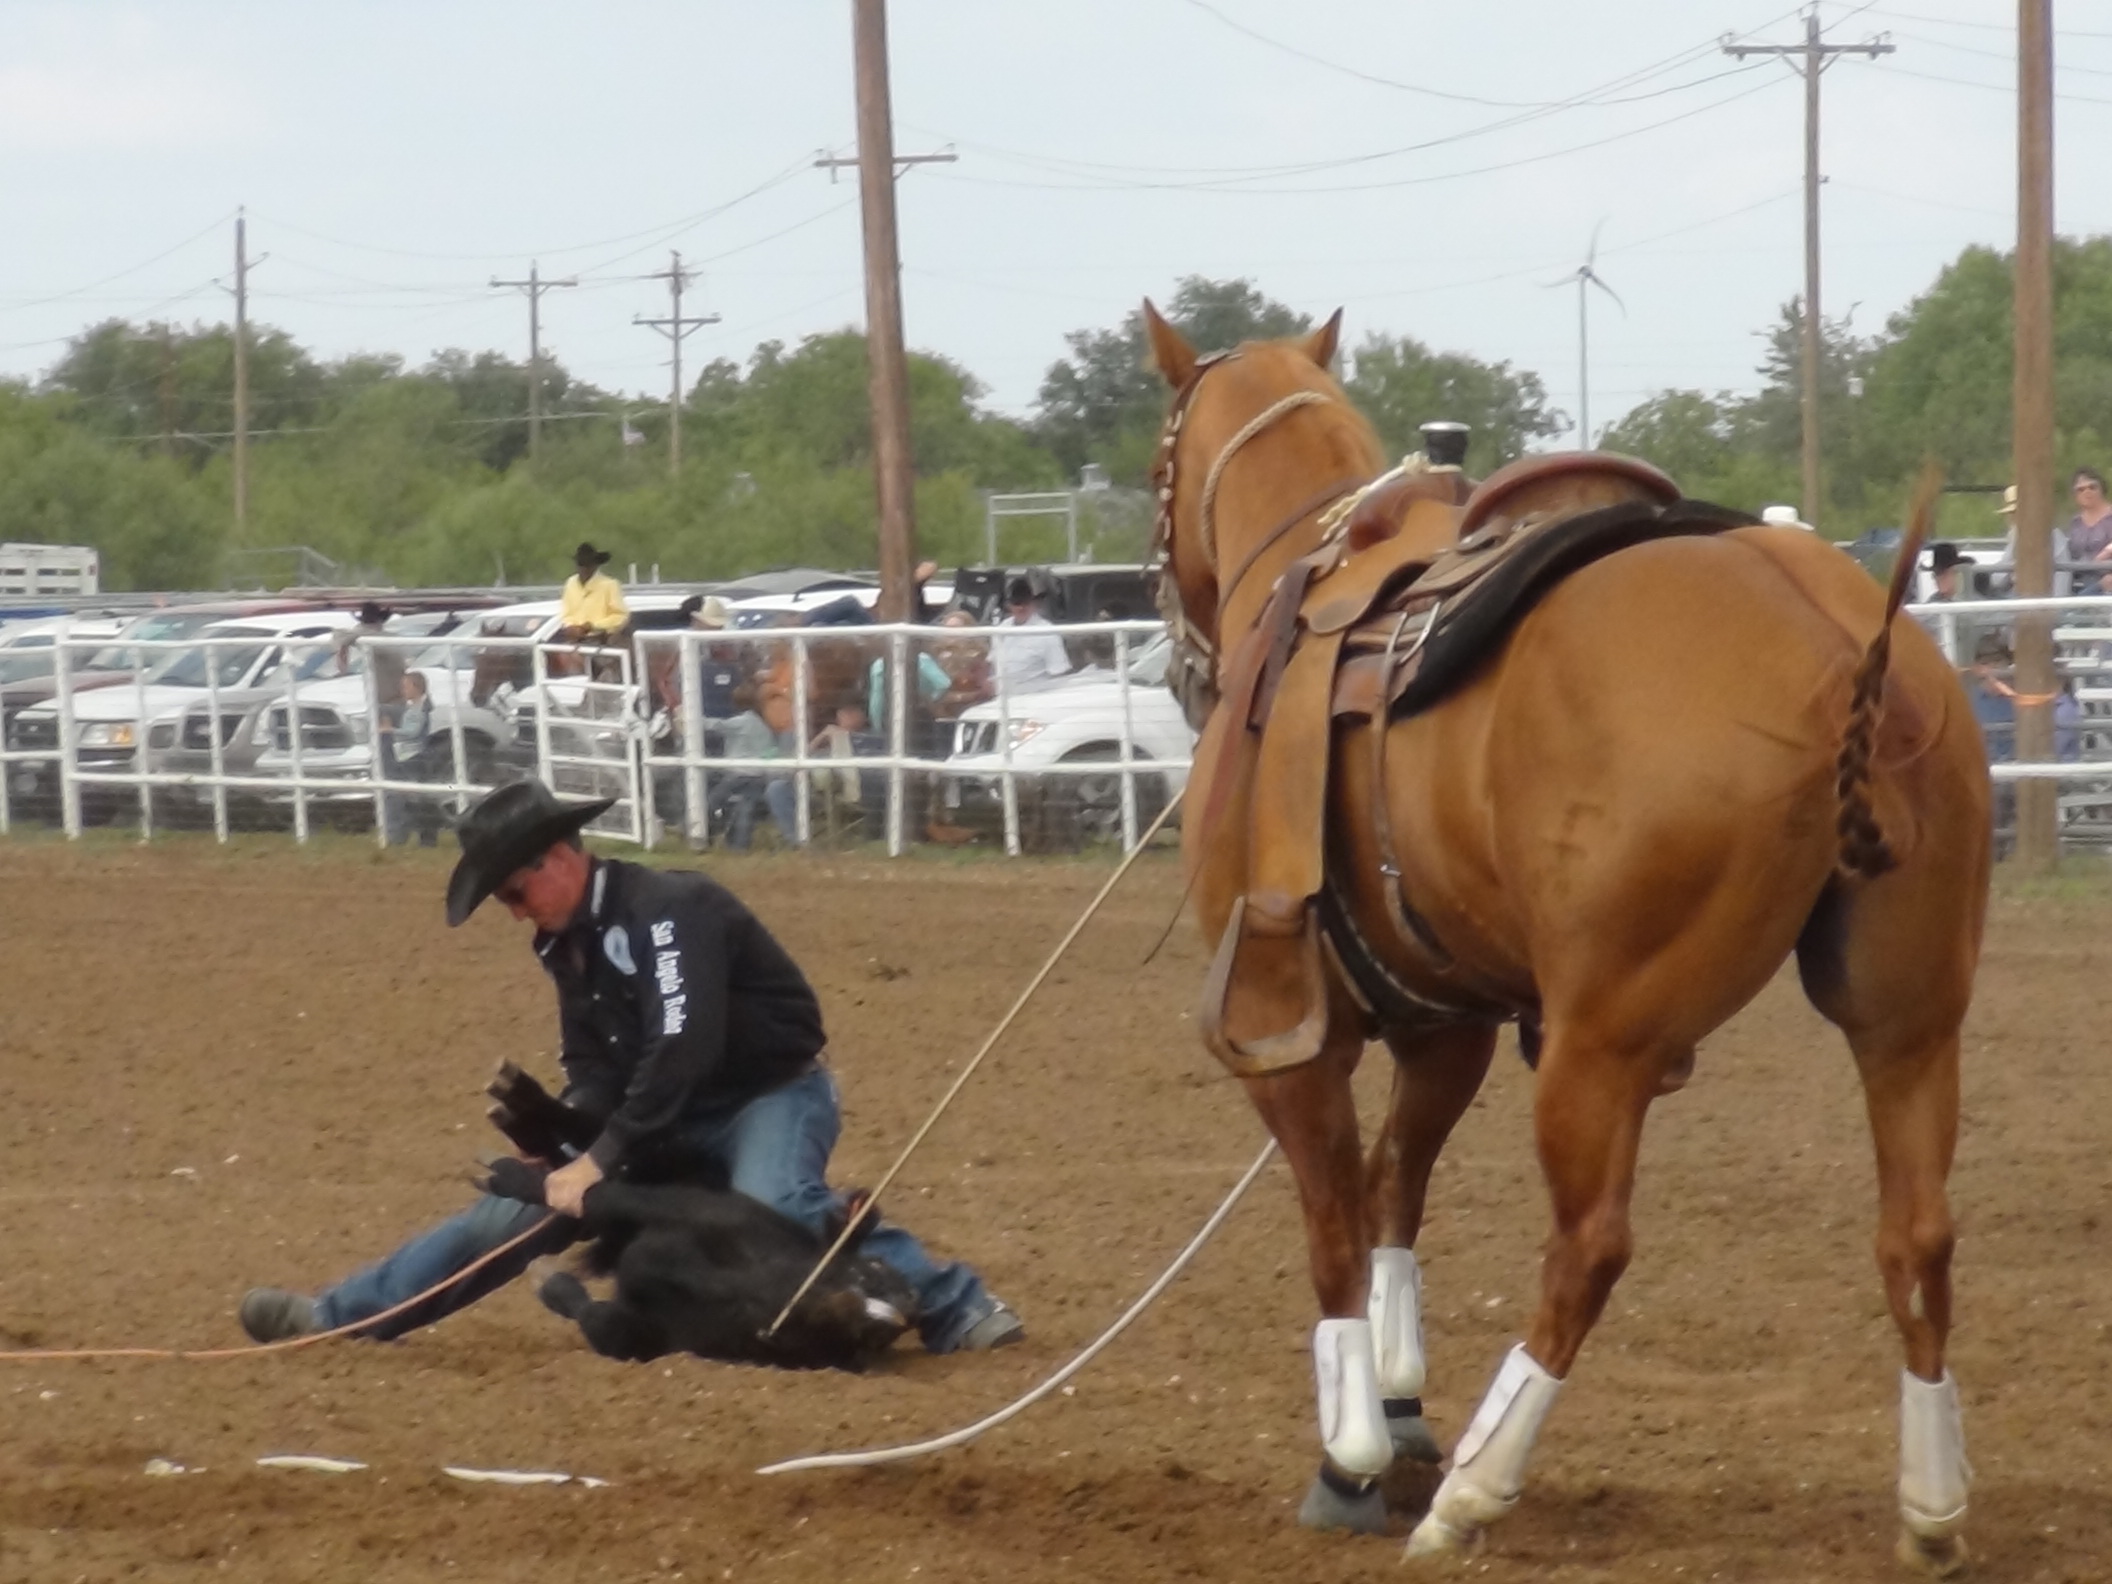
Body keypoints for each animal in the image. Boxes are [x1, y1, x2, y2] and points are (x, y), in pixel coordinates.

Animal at [1144, 302, 1989, 1574]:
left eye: (1158, 466)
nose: (1180, 667)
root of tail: (1847, 638)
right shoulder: (1443, 1020)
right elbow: (1396, 1191)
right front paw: (1400, 1402)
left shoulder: (1291, 1039)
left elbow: (1336, 1220)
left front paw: (1352, 1454)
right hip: (1907, 1019)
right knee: (1918, 1236)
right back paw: (1931, 1509)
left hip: (1606, 1046)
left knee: (1587, 1248)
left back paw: (1473, 1496)